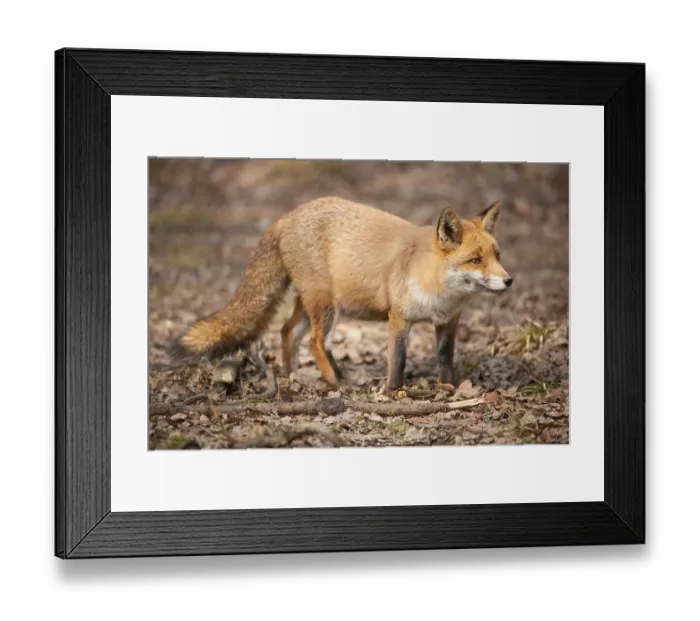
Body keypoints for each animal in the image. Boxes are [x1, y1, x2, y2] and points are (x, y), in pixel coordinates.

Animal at [169, 197, 512, 392]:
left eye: (497, 255)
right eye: (475, 260)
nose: (508, 281)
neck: (440, 290)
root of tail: (287, 216)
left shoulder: (448, 321)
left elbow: (445, 357)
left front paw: (450, 386)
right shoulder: (399, 319)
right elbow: (398, 359)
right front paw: (393, 391)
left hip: (311, 304)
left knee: (288, 331)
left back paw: (293, 375)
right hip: (325, 304)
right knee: (316, 342)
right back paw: (336, 382)